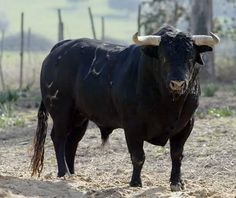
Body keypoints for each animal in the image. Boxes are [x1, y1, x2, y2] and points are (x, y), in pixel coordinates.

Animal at [30, 25, 218, 190]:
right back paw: (64, 172)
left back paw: (73, 174)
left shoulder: (186, 125)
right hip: (61, 111)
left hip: (80, 117)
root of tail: (61, 47)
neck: (169, 103)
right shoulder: (133, 126)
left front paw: (177, 183)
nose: (178, 83)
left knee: (72, 142)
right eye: (164, 57)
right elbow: (138, 156)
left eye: (190, 58)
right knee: (59, 138)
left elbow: (177, 155)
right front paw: (135, 183)